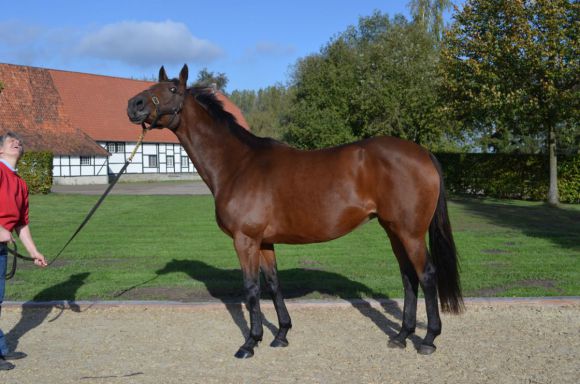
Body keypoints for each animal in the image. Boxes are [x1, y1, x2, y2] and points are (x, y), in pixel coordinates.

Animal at [127, 64, 462, 358]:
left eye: (172, 89)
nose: (134, 104)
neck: (238, 165)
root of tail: (423, 153)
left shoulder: (245, 240)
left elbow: (251, 288)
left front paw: (250, 343)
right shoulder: (264, 242)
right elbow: (274, 284)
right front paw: (281, 335)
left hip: (411, 232)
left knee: (426, 275)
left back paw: (428, 339)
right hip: (393, 230)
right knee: (408, 277)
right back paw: (401, 335)